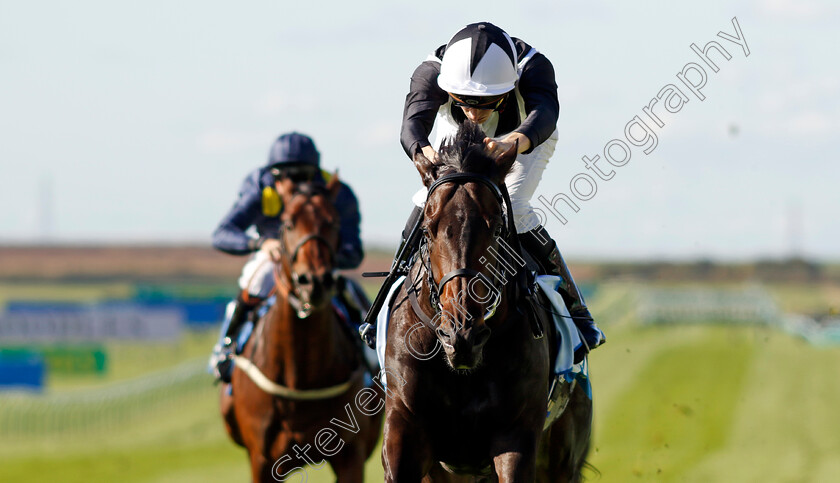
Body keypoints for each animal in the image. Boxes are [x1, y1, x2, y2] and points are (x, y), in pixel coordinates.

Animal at [221, 177, 382, 483]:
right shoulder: (261, 459)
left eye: (333, 221)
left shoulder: (350, 454)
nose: (314, 281)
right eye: (288, 223)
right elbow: (226, 229)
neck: (301, 376)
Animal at [380, 122, 592, 483]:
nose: (462, 335)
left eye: (495, 229)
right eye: (428, 228)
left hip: (563, 453)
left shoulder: (516, 434)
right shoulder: (404, 427)